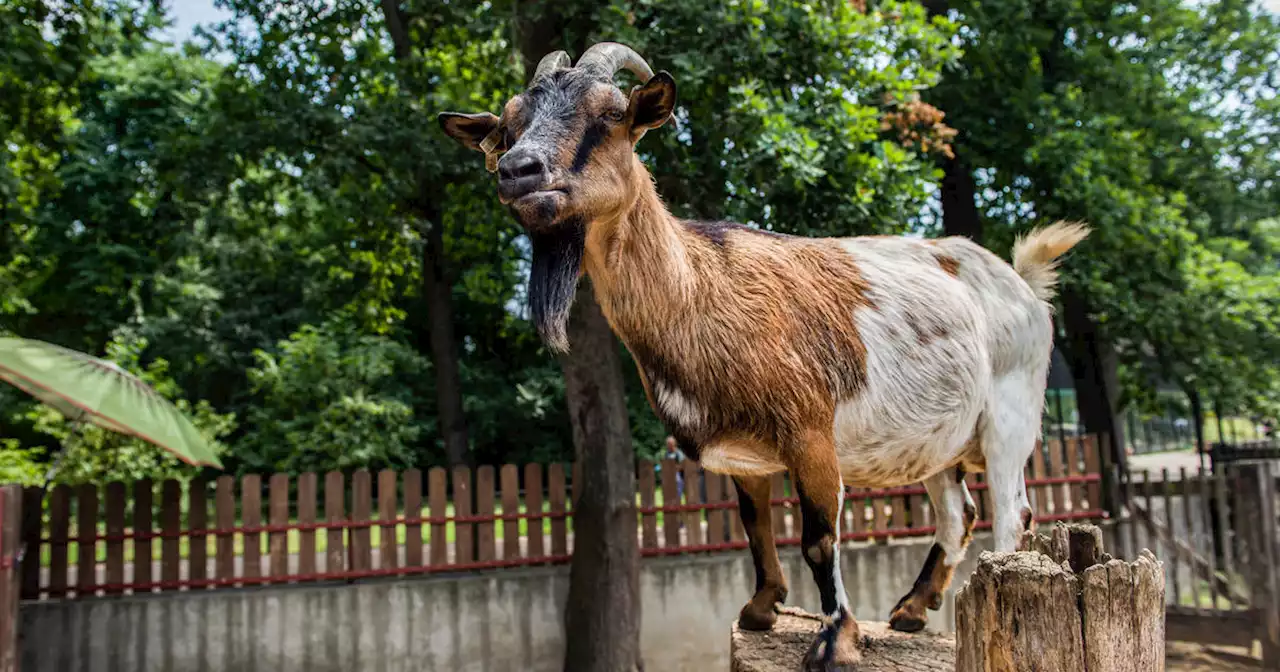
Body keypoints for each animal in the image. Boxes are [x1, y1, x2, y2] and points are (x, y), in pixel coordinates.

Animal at [442, 44, 1090, 665]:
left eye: (609, 115)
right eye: (508, 126)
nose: (517, 171)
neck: (700, 286)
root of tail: (1024, 283)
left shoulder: (810, 433)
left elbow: (819, 539)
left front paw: (835, 641)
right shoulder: (744, 457)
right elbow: (755, 525)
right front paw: (761, 609)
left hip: (1011, 414)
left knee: (1012, 511)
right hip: (937, 443)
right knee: (959, 513)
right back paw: (910, 610)